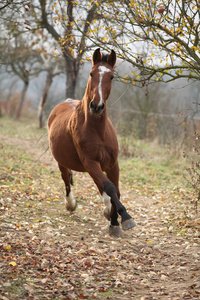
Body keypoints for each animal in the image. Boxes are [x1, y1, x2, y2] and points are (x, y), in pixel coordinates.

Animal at [47, 48, 137, 237]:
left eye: (111, 77)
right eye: (91, 73)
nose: (96, 106)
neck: (98, 132)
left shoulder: (112, 164)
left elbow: (115, 190)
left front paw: (114, 219)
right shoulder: (90, 162)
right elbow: (110, 188)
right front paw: (122, 219)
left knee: (99, 185)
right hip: (63, 162)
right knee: (66, 179)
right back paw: (71, 204)